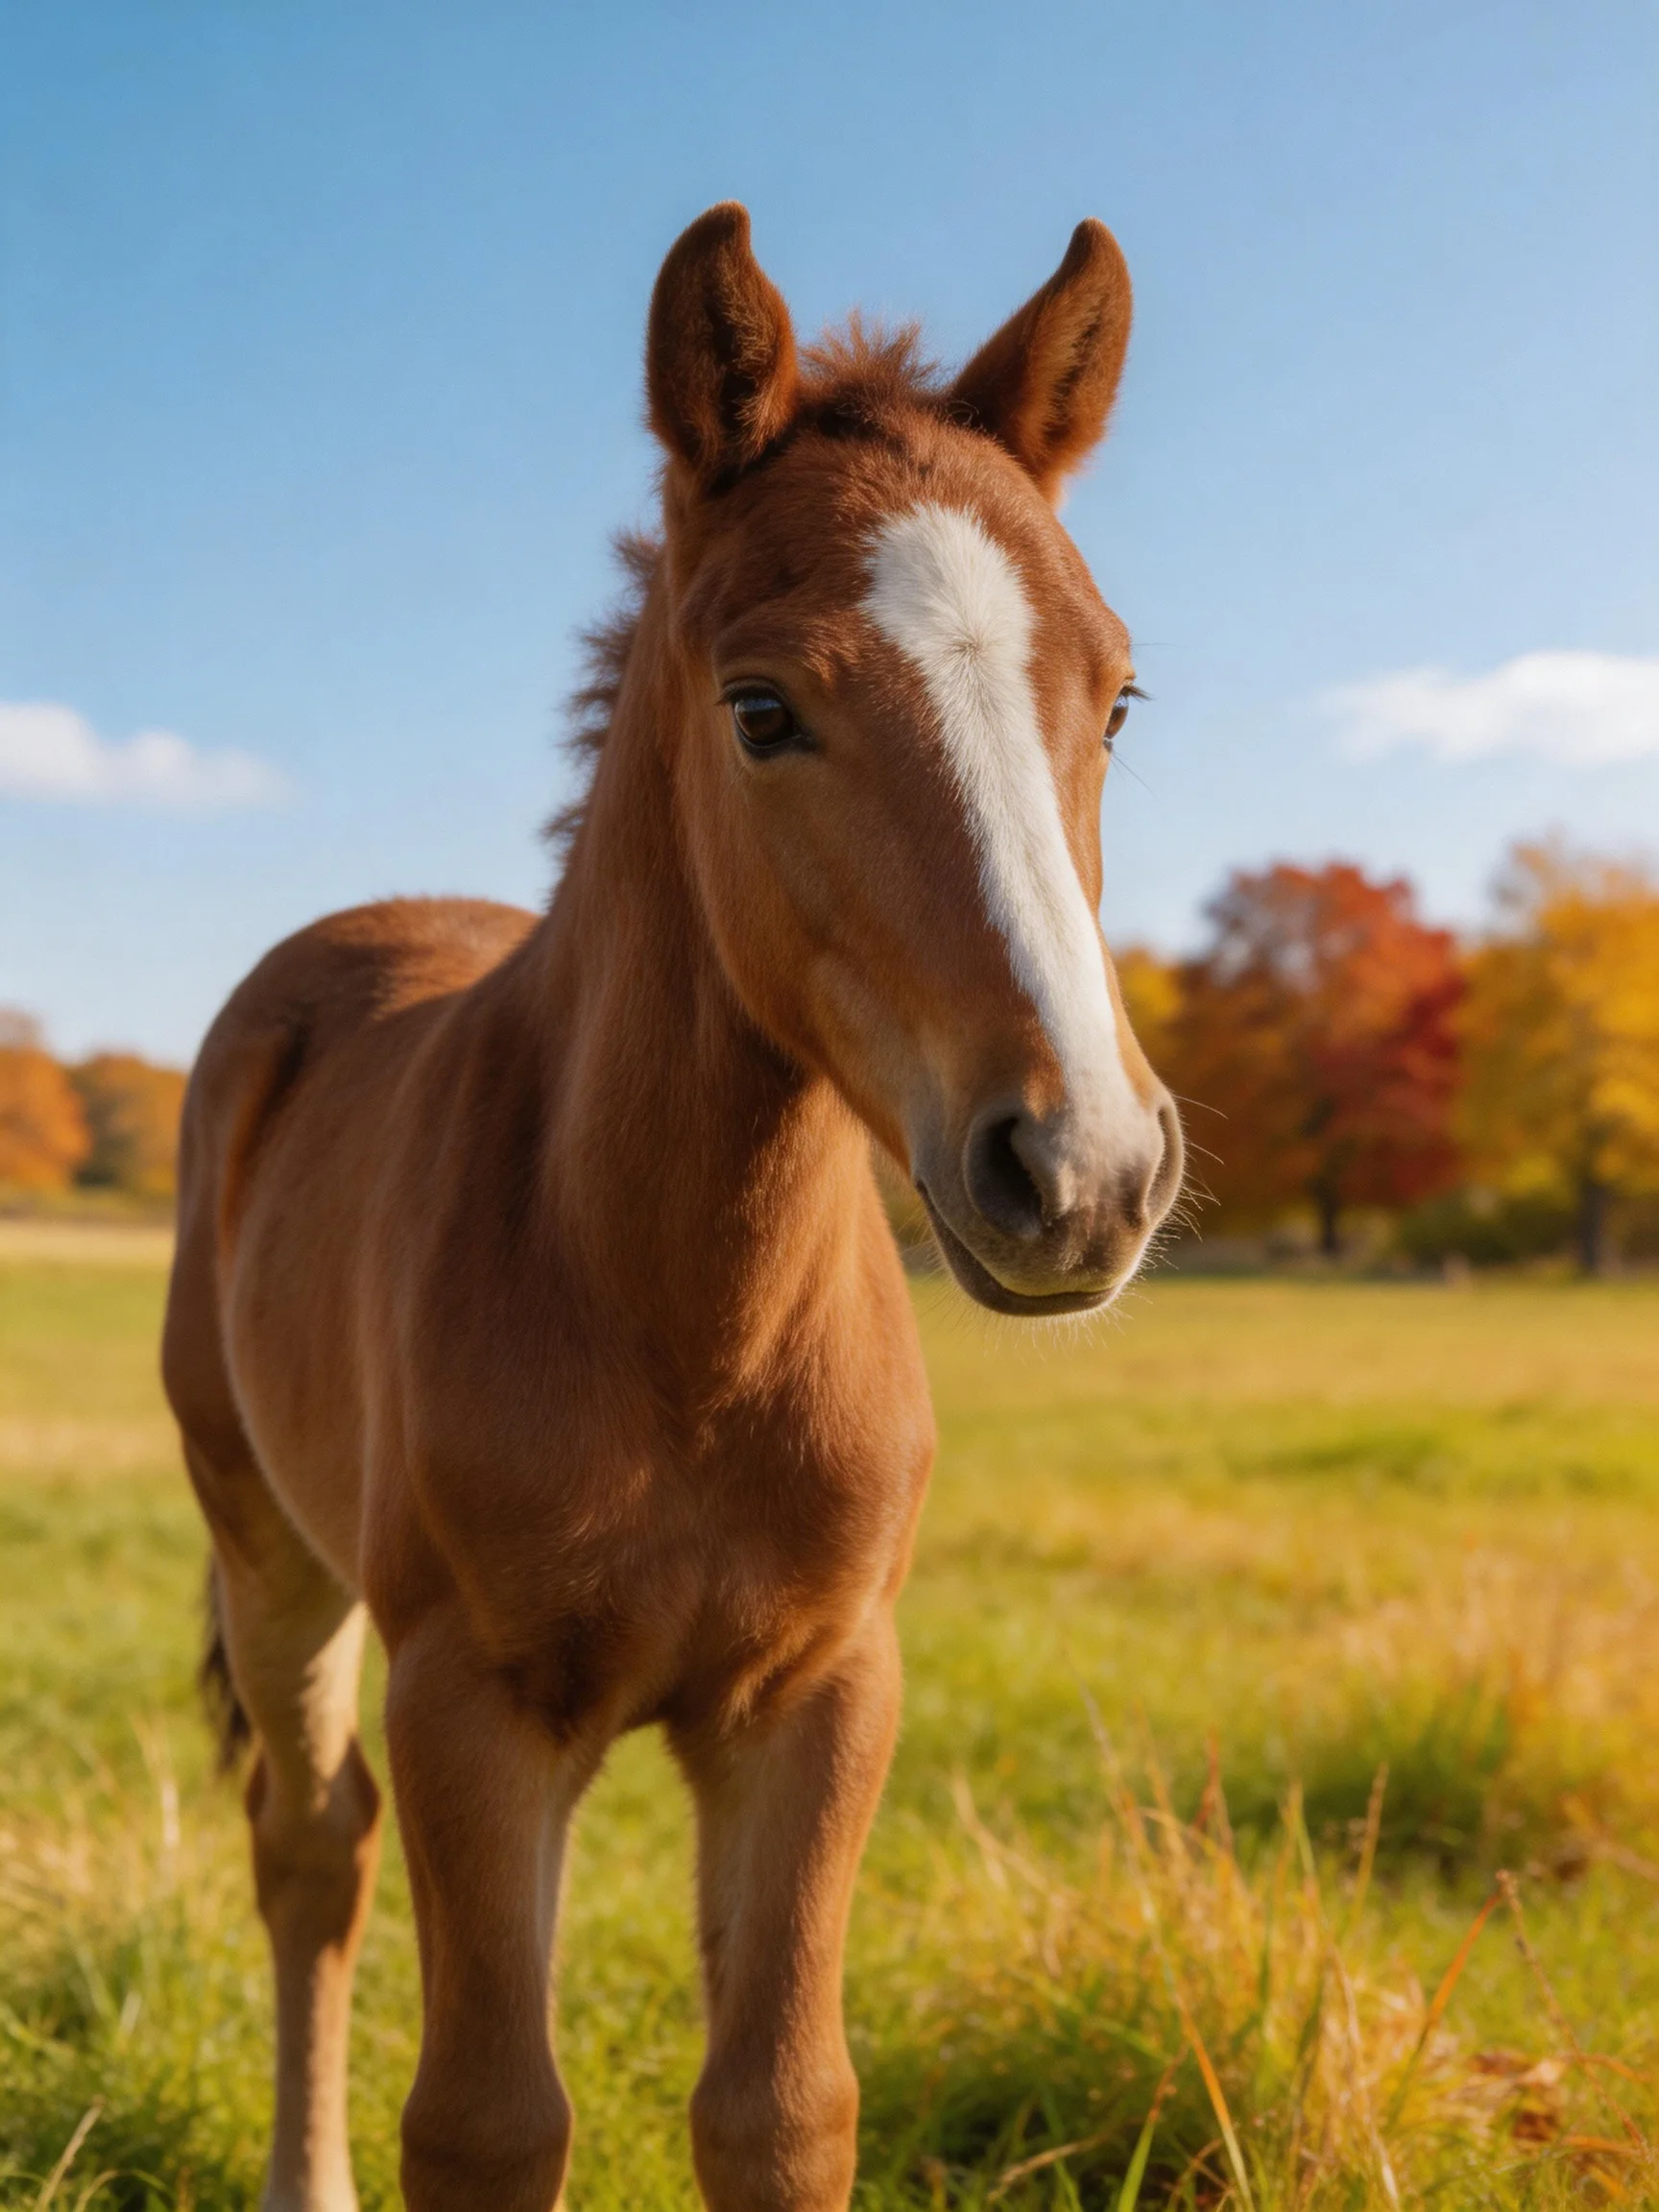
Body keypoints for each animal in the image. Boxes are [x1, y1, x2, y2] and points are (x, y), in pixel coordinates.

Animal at [161, 201, 1183, 2212]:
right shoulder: (471, 1700)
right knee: (310, 1845)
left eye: (1113, 694)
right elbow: (486, 2118)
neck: (677, 1317)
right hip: (273, 1549)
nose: (1083, 1170)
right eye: (762, 708)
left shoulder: (819, 1694)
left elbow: (777, 2105)